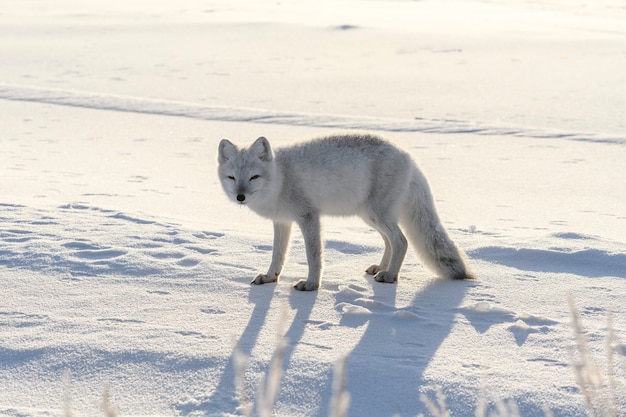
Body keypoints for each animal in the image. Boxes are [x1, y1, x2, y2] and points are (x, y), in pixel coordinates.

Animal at [217, 133, 470, 290]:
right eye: (232, 178)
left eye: (254, 177)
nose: (240, 197)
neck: (280, 177)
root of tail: (409, 156)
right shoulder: (282, 221)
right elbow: (277, 254)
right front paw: (270, 277)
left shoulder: (309, 216)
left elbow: (313, 255)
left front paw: (311, 285)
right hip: (371, 216)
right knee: (390, 242)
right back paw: (381, 268)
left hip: (377, 214)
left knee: (401, 241)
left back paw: (390, 276)